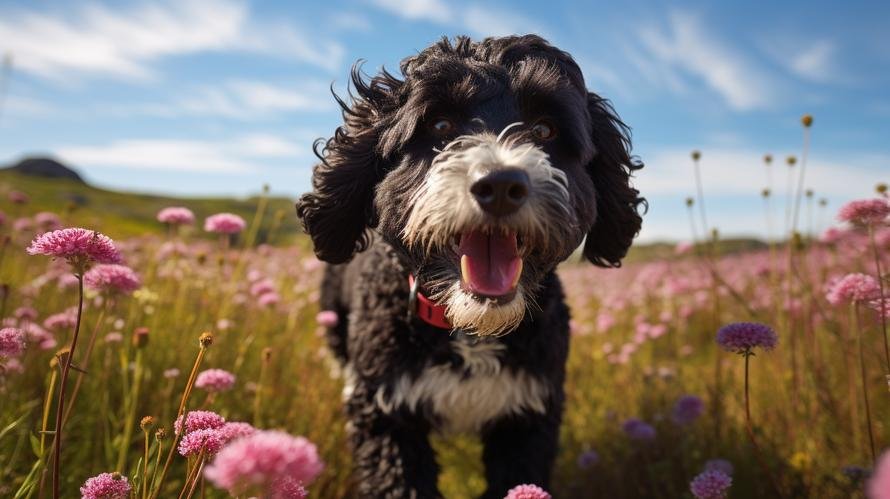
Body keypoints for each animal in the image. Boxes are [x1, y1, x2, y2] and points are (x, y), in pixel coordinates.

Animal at [294, 33, 640, 498]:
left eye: (544, 130)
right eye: (440, 127)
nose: (501, 185)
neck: (470, 331)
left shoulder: (528, 420)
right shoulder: (387, 418)